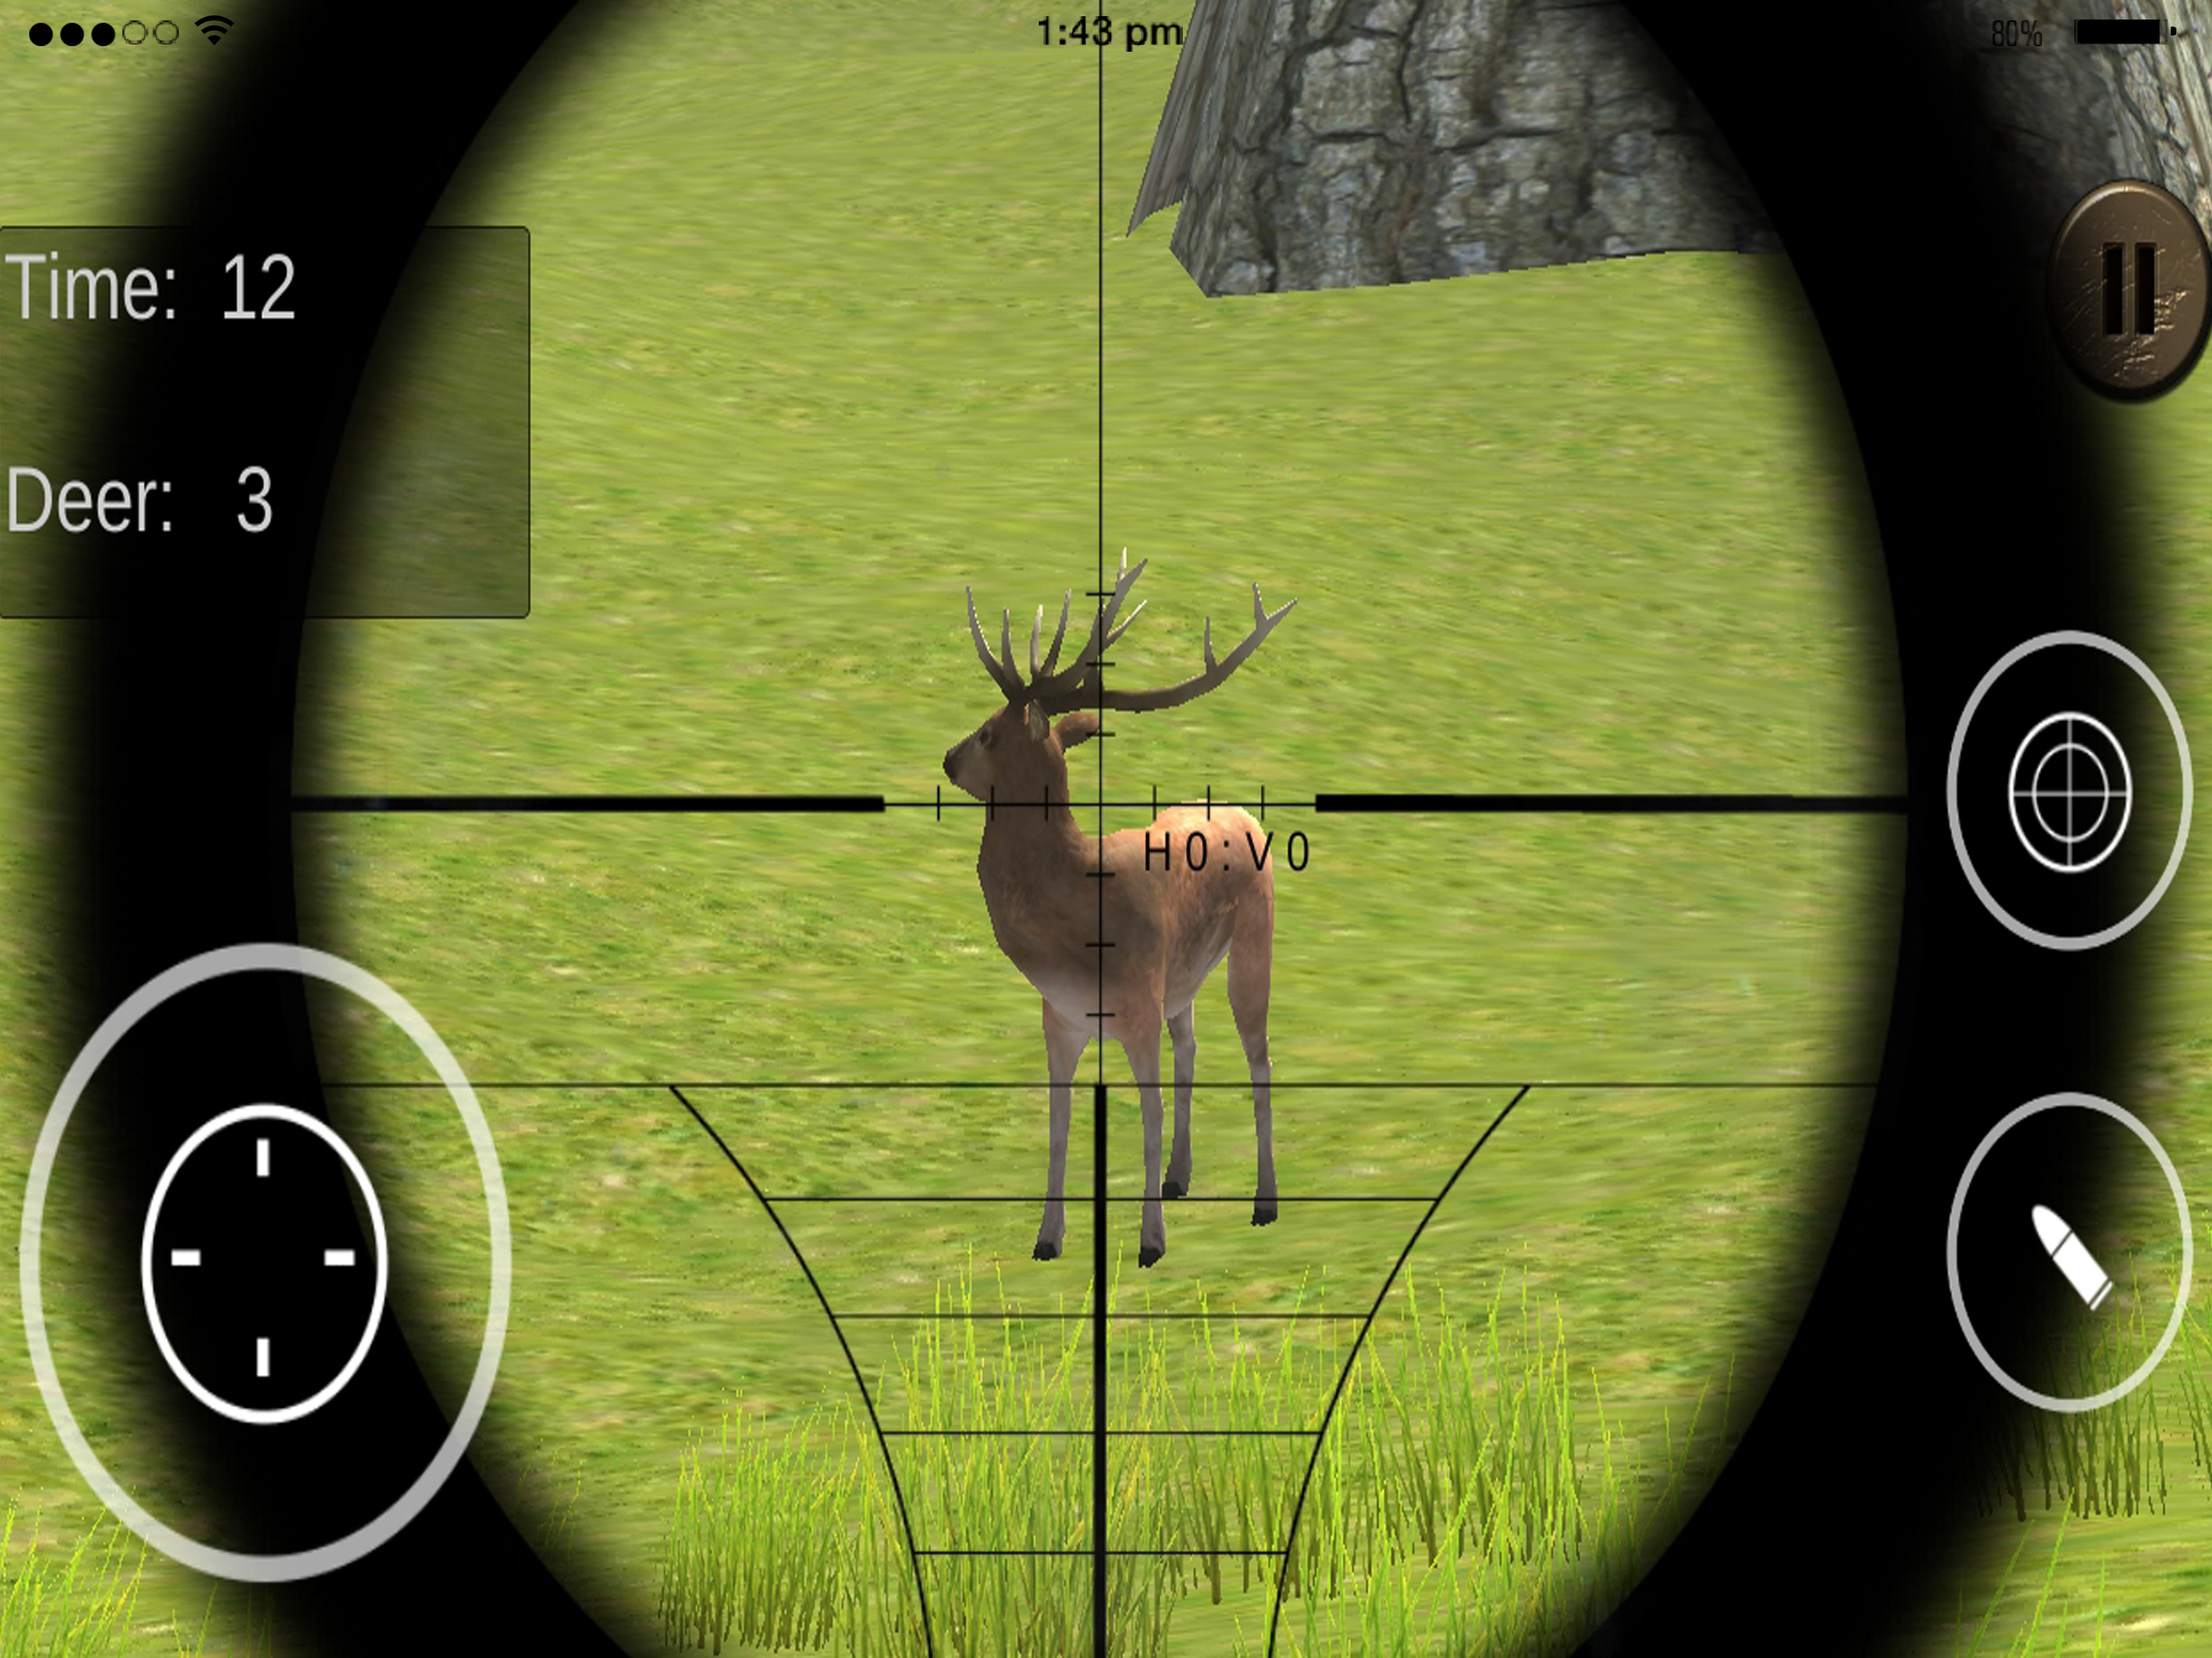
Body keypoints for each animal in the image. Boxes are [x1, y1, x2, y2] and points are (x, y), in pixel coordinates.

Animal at [943, 550, 1295, 1269]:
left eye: (988, 733)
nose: (947, 760)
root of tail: (1243, 811)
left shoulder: (1135, 1007)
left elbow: (1147, 1113)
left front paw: (1150, 1242)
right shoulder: (1059, 1017)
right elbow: (1058, 1123)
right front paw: (1047, 1238)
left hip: (1253, 942)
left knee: (1259, 1058)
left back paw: (1264, 1202)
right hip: (1180, 980)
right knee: (1192, 1046)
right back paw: (1181, 1179)